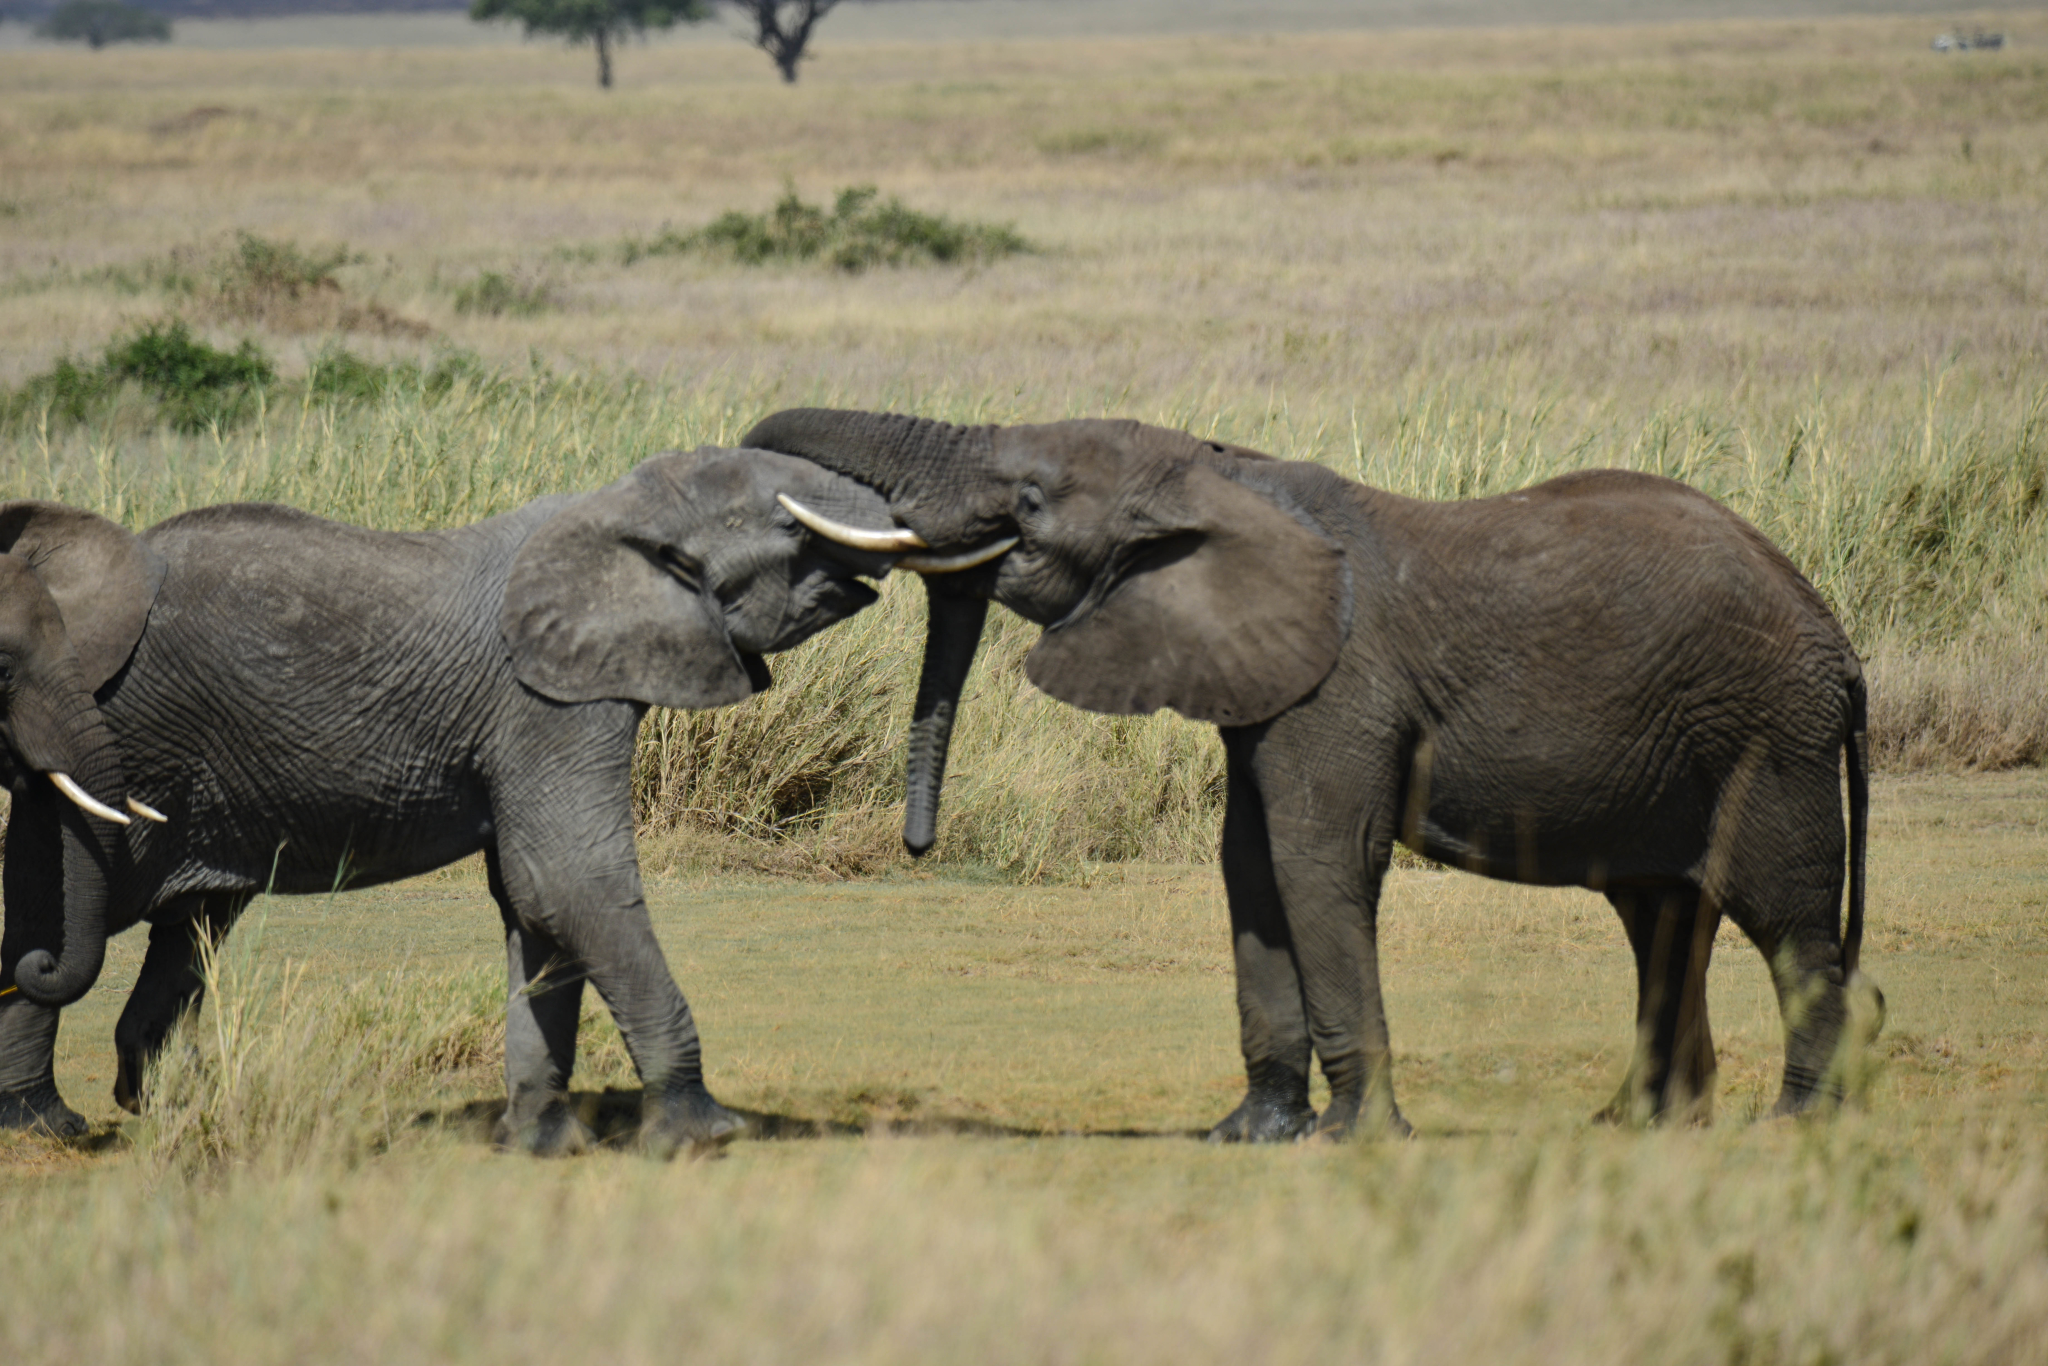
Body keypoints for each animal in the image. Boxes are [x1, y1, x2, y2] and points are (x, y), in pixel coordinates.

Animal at [0, 454, 921, 1163]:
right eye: (792, 533)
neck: (615, 513)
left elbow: (532, 901)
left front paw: (542, 1145)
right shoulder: (546, 700)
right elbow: (568, 881)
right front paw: (706, 1134)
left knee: (188, 926)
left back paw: (157, 1104)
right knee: (61, 924)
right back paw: (44, 1126)